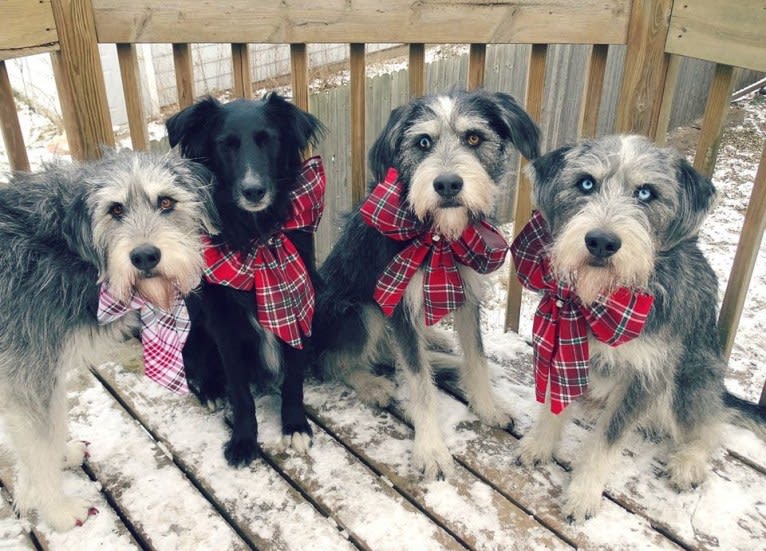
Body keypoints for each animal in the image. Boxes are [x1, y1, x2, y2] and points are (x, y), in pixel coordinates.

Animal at [0, 150, 216, 532]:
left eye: (166, 202)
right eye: (115, 209)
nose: (144, 256)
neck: (65, 249)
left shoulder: (36, 375)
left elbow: (47, 432)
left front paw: (49, 470)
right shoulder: (27, 377)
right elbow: (39, 443)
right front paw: (57, 510)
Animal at [166, 94, 326, 466]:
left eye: (269, 140)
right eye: (225, 145)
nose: (254, 191)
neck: (256, 237)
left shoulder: (296, 305)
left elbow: (293, 379)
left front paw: (295, 426)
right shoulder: (224, 325)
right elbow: (240, 392)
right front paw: (243, 439)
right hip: (197, 332)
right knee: (193, 367)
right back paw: (211, 390)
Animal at [516, 134, 766, 520]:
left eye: (646, 193)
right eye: (586, 183)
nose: (601, 242)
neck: (605, 299)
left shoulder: (646, 373)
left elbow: (607, 439)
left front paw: (584, 493)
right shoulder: (562, 342)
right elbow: (555, 405)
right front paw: (539, 444)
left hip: (690, 378)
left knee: (709, 427)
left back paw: (689, 461)